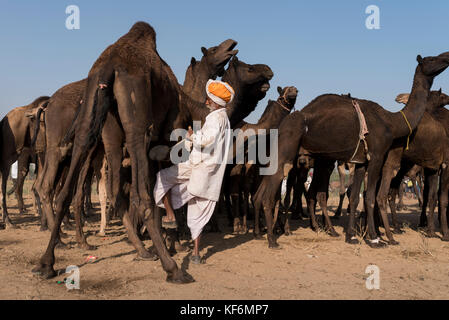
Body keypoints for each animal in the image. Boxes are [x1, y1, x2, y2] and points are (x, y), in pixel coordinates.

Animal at [252, 52, 448, 248]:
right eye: (431, 59)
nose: (446, 57)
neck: (392, 122)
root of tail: (282, 125)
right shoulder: (377, 156)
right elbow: (370, 197)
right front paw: (375, 238)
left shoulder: (361, 161)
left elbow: (354, 197)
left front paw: (351, 236)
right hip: (287, 152)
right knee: (272, 193)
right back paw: (272, 239)